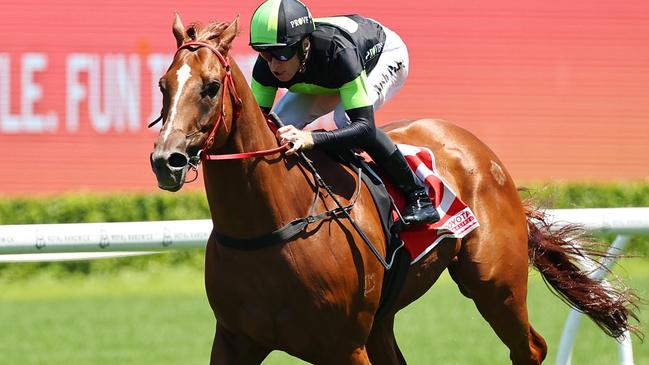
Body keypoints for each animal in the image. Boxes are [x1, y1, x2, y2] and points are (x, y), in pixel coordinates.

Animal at [148, 14, 636, 364]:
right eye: (163, 84)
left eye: (211, 87)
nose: (166, 160)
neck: (271, 227)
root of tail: (481, 152)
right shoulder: (235, 341)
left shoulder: (343, 346)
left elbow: (362, 124)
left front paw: (299, 137)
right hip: (384, 321)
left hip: (497, 284)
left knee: (530, 348)